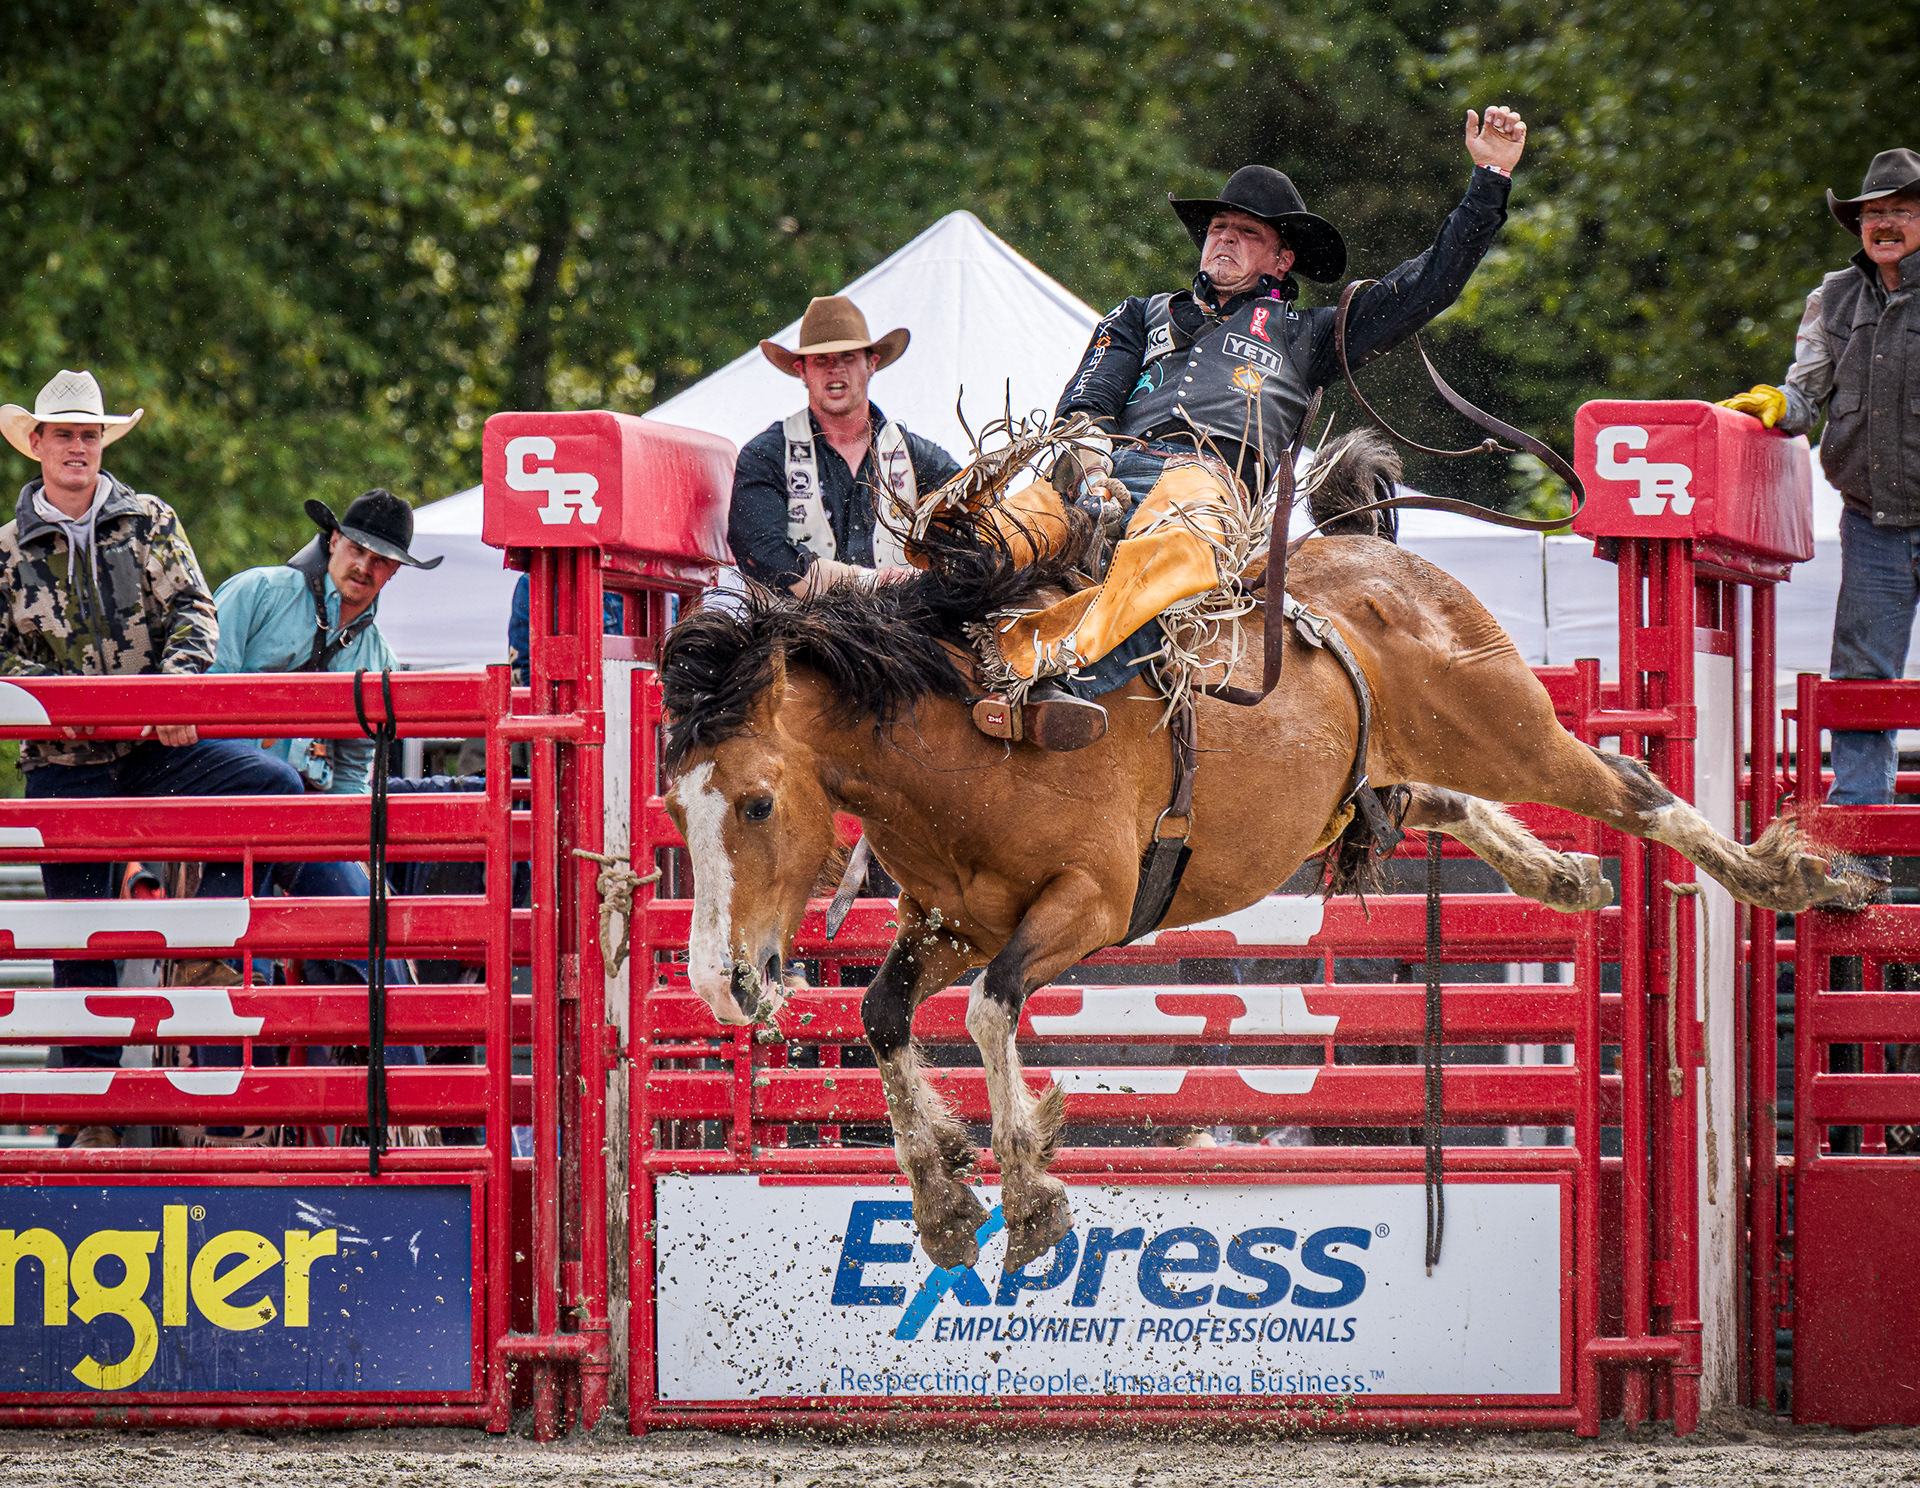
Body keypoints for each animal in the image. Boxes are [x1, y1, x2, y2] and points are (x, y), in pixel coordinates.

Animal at [656, 443, 1867, 1273]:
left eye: (756, 801)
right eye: (675, 802)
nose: (723, 983)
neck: (971, 728)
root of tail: (1389, 562)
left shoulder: (1082, 908)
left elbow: (993, 1012)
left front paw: (1029, 1194)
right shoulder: (951, 923)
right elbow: (884, 1017)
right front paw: (946, 1195)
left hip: (1513, 725)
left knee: (1632, 787)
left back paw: (1797, 878)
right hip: (1368, 782)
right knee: (1434, 799)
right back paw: (1554, 874)